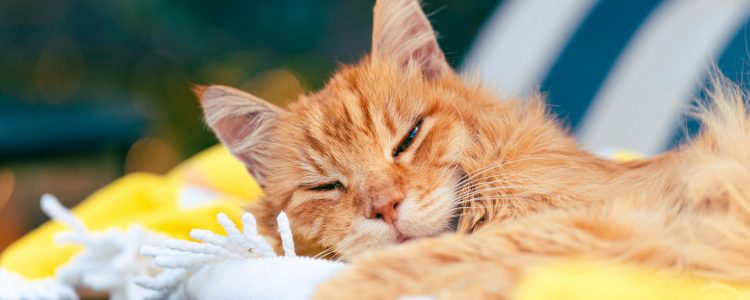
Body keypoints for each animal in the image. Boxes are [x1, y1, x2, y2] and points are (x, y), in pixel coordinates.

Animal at [197, 0, 750, 298]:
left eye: (408, 139)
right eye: (325, 186)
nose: (385, 207)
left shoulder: (631, 219)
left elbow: (444, 254)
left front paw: (340, 287)